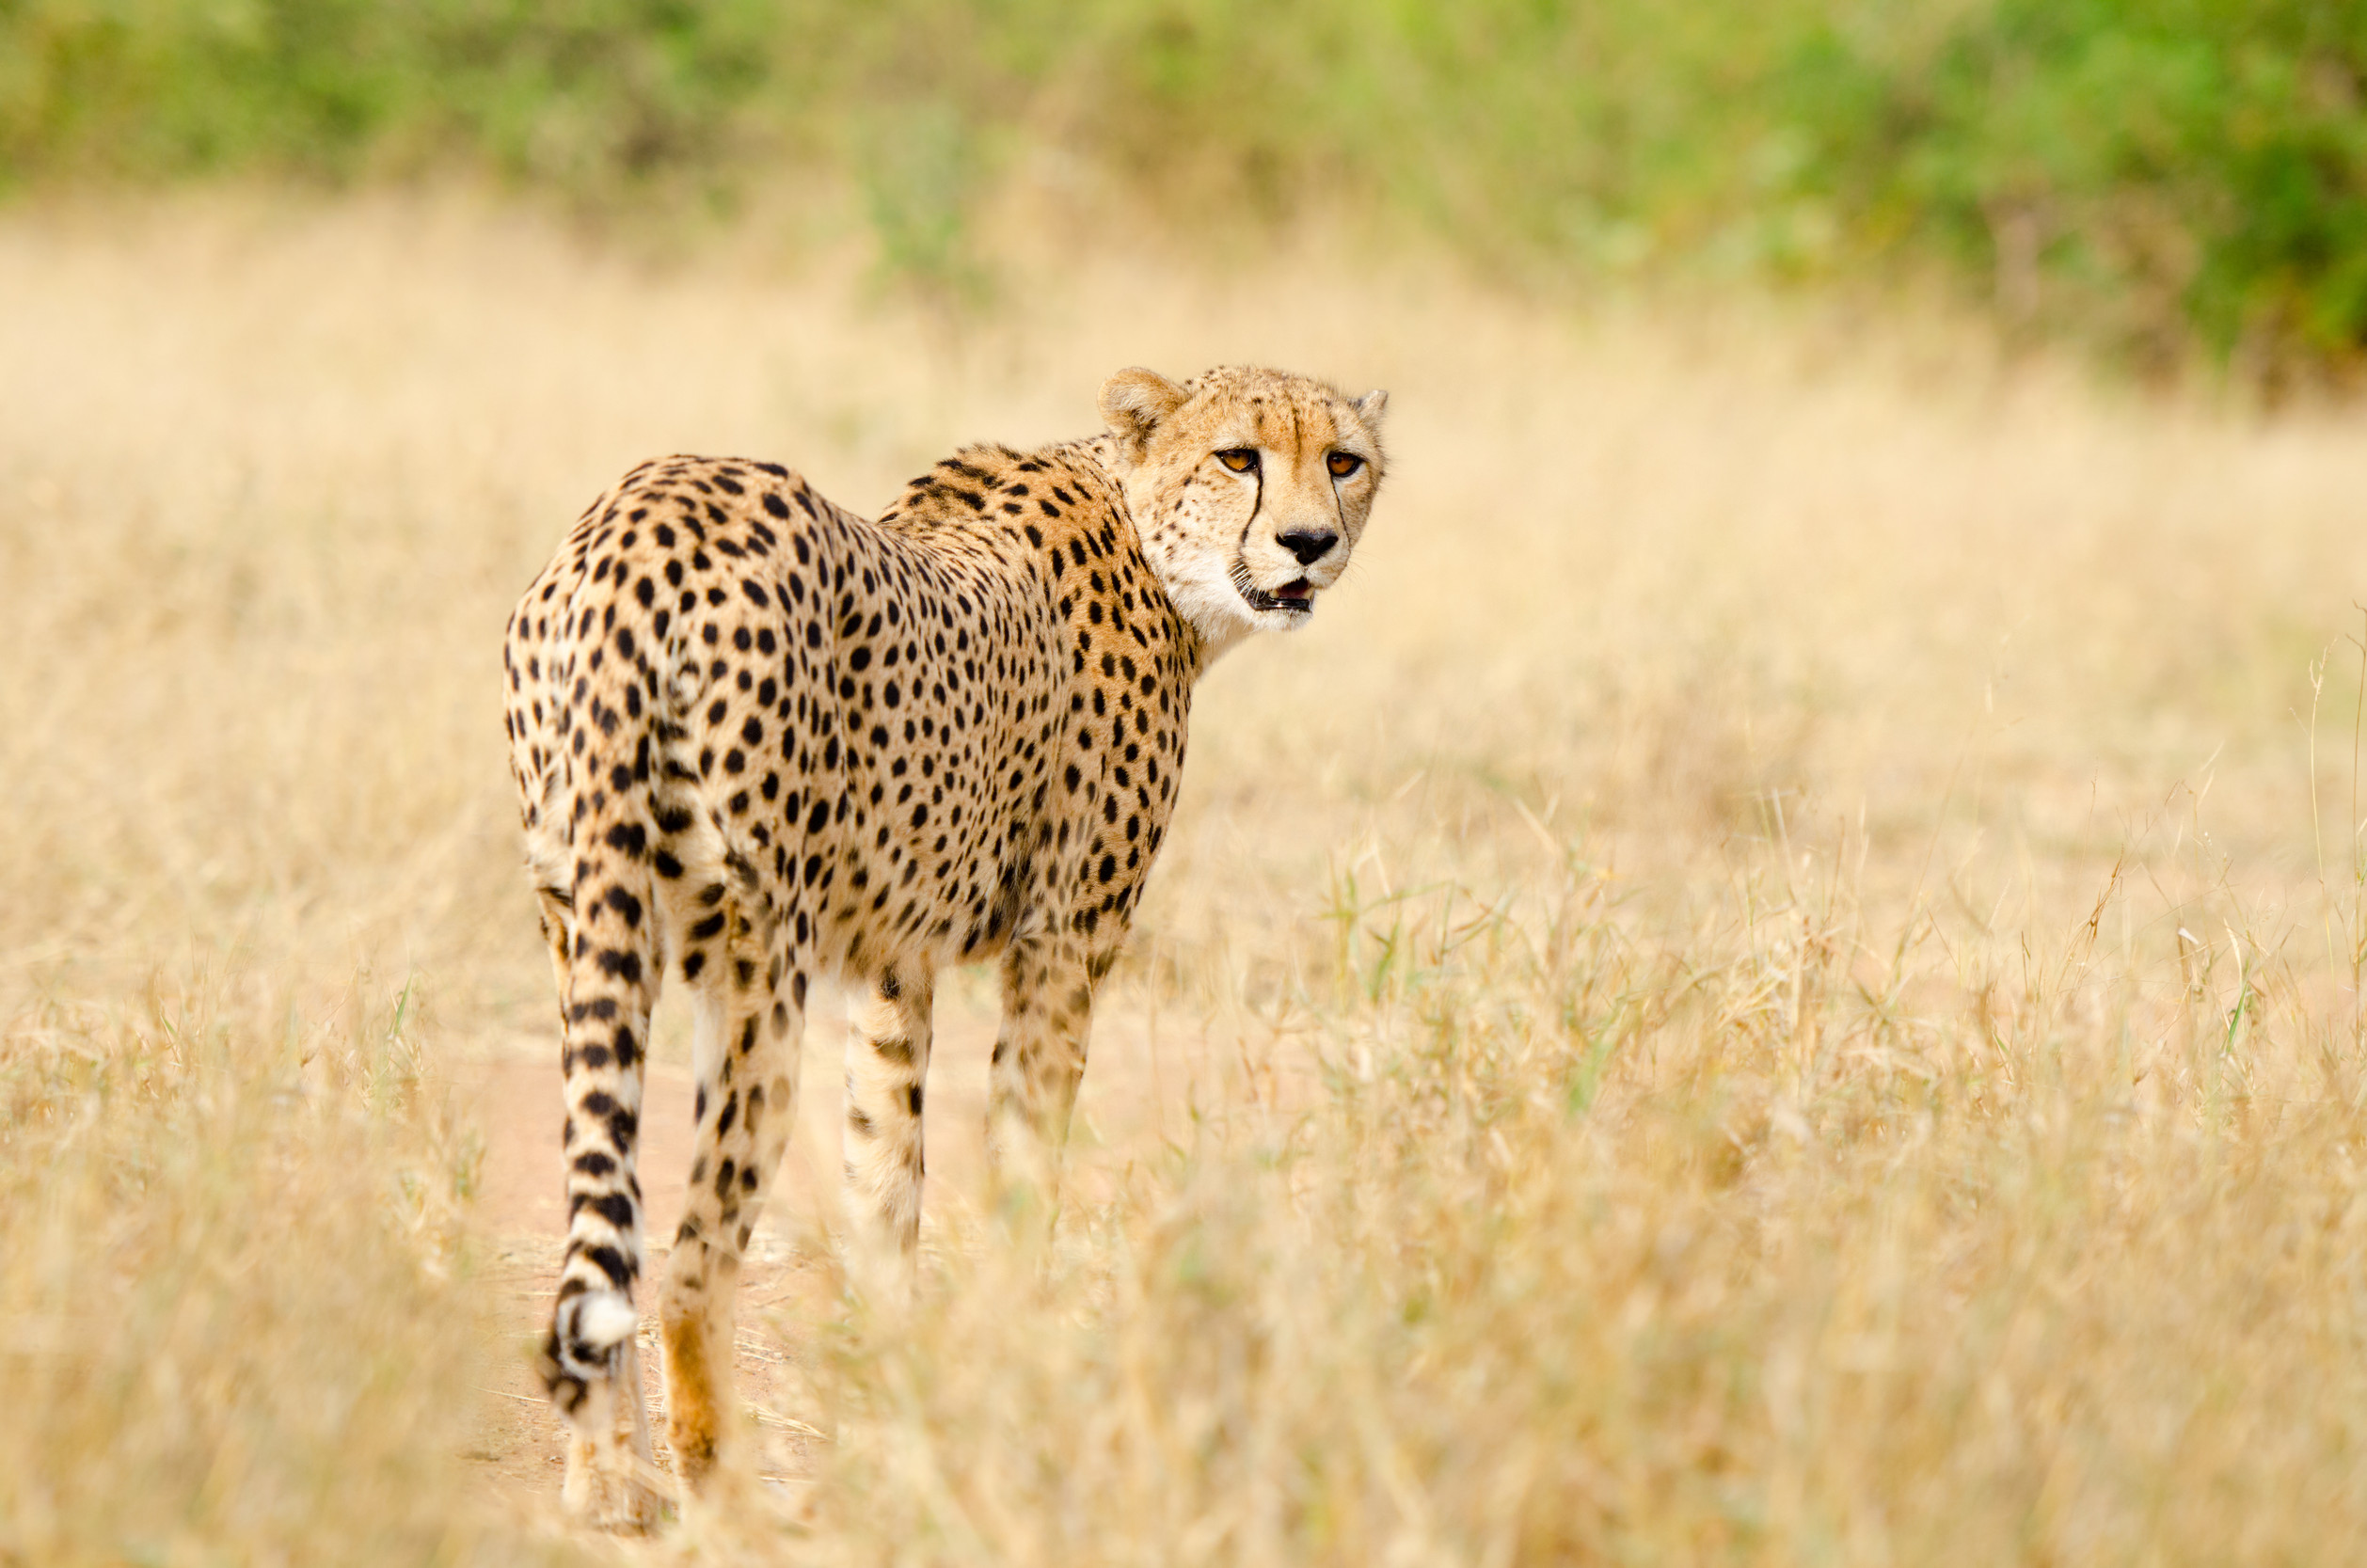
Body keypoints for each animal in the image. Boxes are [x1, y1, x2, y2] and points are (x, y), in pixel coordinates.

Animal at [499, 364, 1382, 1523]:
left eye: (1343, 460)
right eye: (1239, 456)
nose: (1308, 543)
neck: (1150, 541)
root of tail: (642, 524)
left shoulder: (893, 960)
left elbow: (885, 1174)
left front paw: (893, 1377)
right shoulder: (1061, 944)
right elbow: (1023, 1171)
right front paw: (1012, 1371)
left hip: (588, 924)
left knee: (605, 1238)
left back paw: (607, 1487)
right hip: (755, 963)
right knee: (691, 1268)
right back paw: (724, 1496)